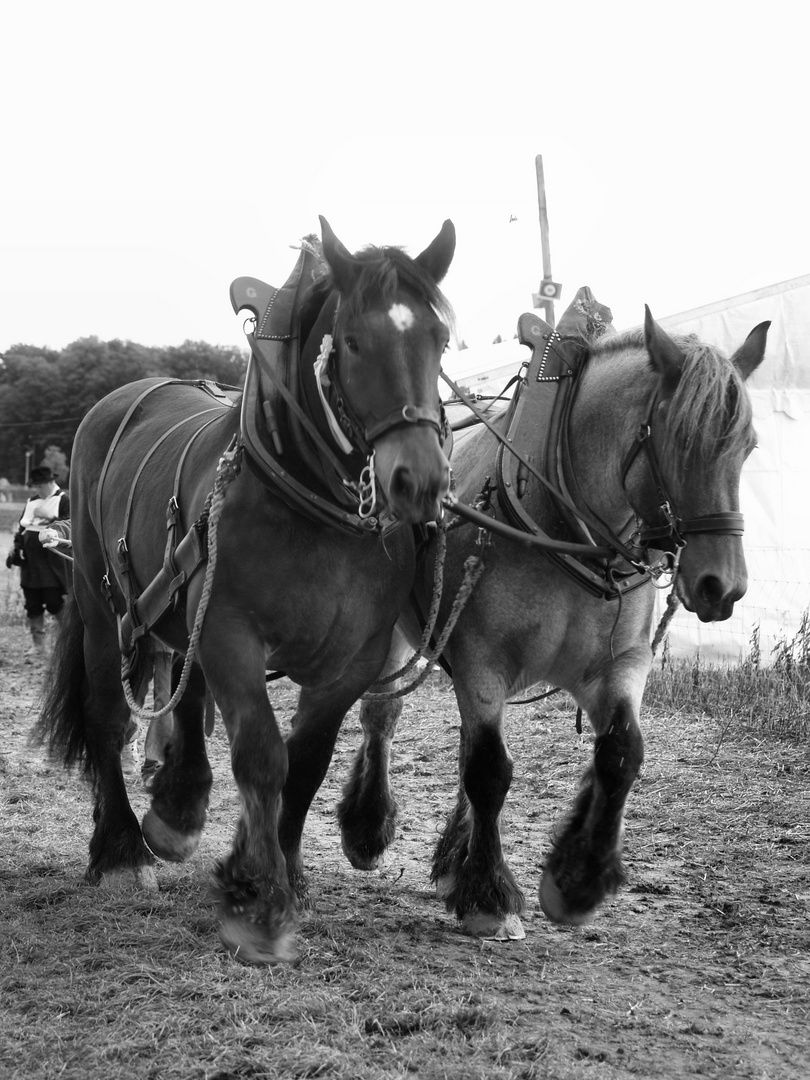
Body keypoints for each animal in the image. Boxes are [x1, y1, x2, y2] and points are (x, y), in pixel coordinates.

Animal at [38, 217, 457, 963]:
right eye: (354, 341)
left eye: (438, 339)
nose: (420, 479)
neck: (316, 505)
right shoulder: (232, 632)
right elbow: (263, 756)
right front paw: (258, 902)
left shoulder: (353, 657)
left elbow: (306, 763)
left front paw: (279, 871)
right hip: (97, 601)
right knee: (109, 717)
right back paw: (121, 850)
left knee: (187, 691)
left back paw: (178, 807)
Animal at [339, 300, 768, 941]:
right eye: (680, 440)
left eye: (749, 446)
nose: (724, 586)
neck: (564, 521)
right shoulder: (481, 663)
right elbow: (489, 771)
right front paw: (489, 896)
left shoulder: (617, 666)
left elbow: (621, 754)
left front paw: (577, 879)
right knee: (381, 716)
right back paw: (368, 827)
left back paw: (452, 860)